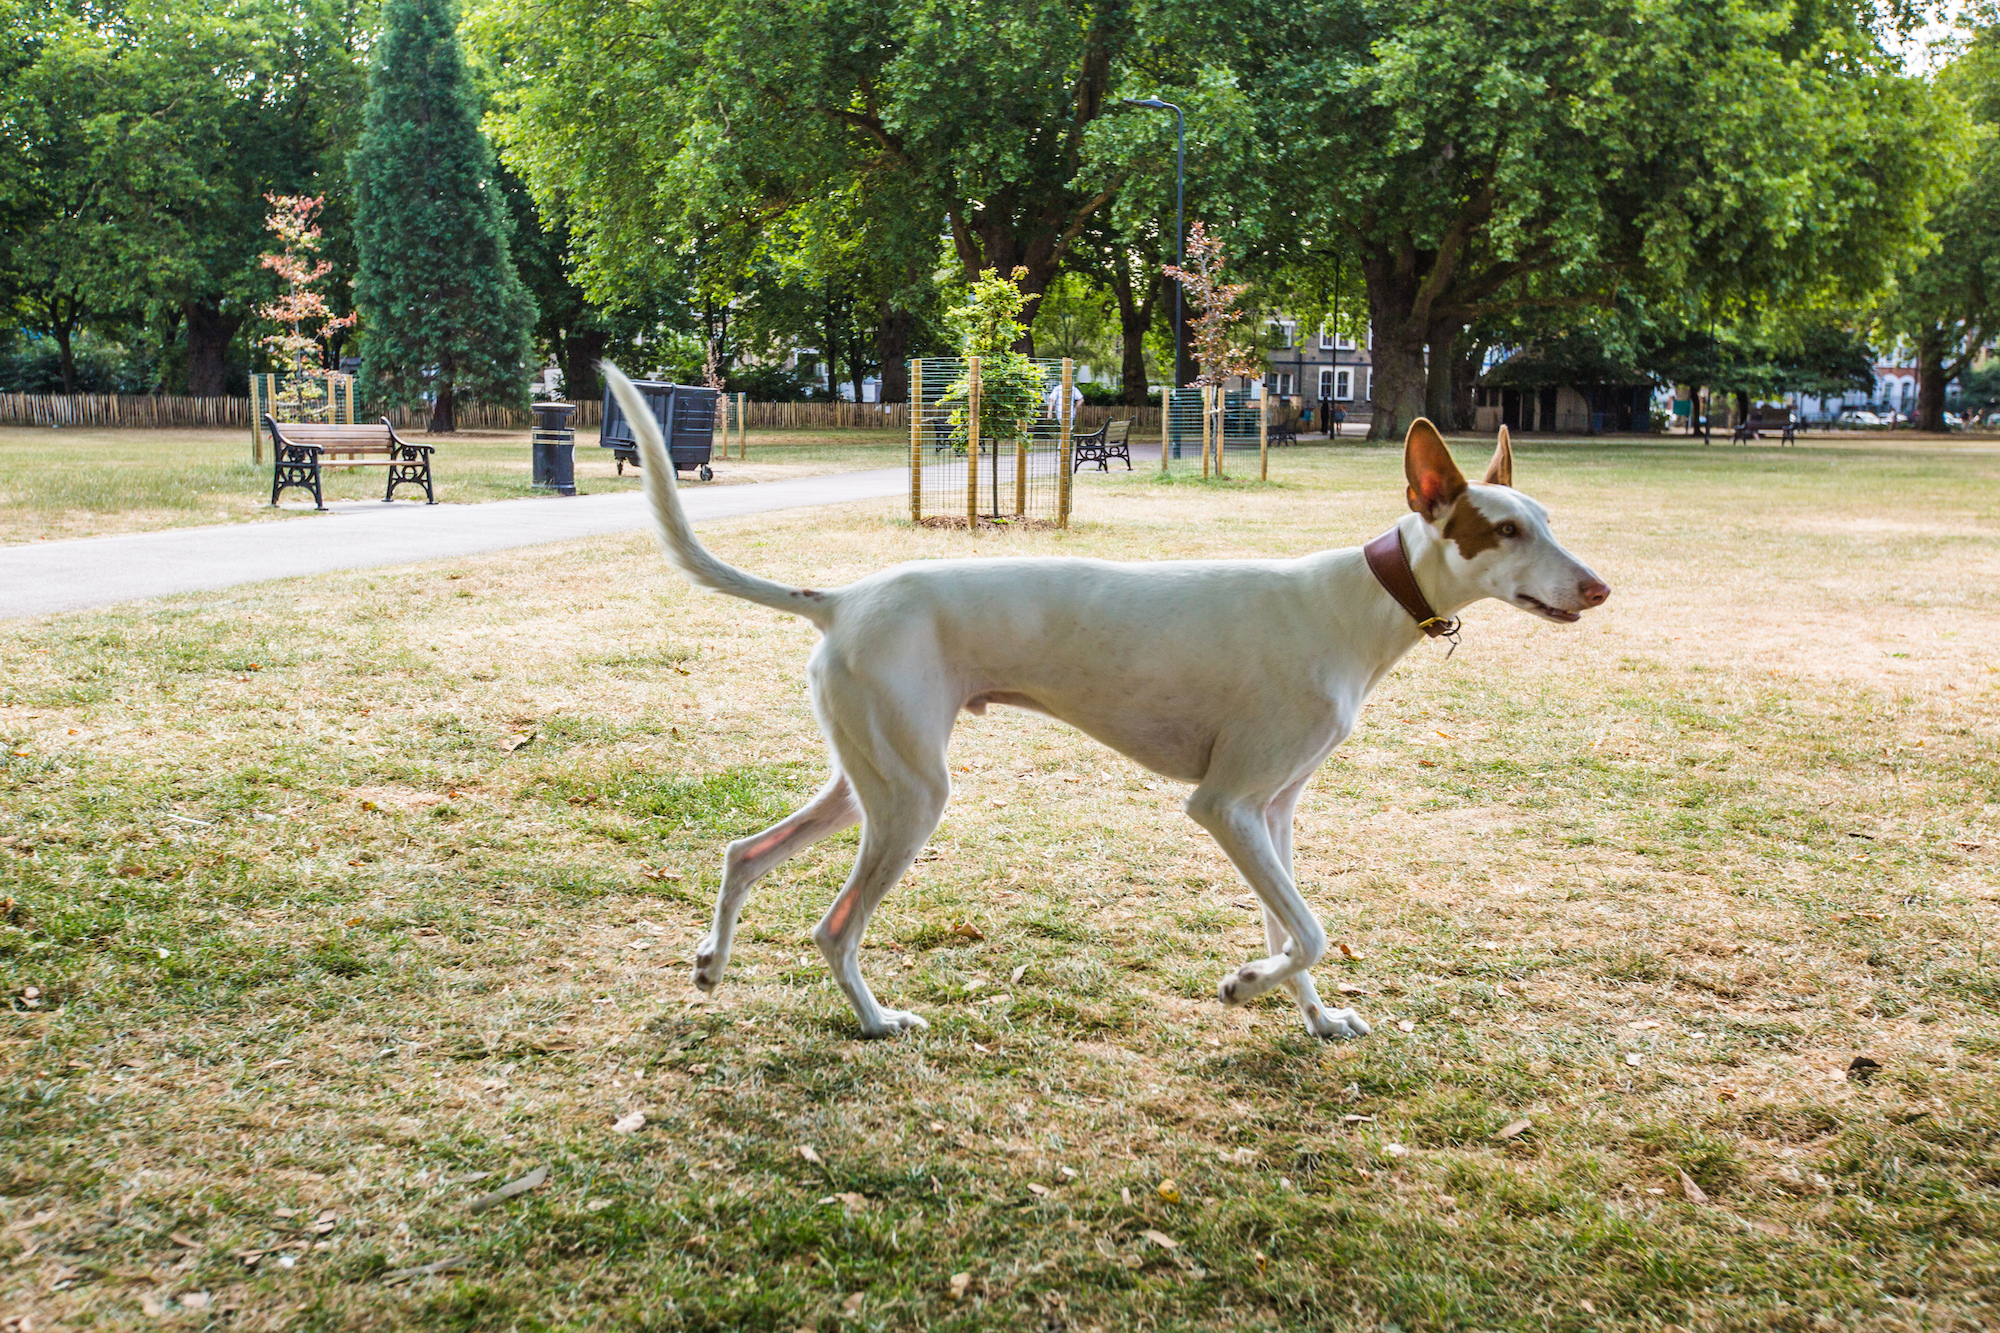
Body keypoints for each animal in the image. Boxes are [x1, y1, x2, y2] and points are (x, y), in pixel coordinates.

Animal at [600, 366, 1600, 1040]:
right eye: (1503, 530)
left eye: (1549, 521)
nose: (1598, 589)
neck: (1354, 604)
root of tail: (841, 598)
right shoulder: (1224, 806)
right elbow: (1311, 930)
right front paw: (1245, 984)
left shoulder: (1274, 812)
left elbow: (1292, 924)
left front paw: (1314, 1018)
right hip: (913, 799)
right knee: (833, 926)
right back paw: (877, 1022)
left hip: (868, 782)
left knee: (744, 852)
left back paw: (711, 963)